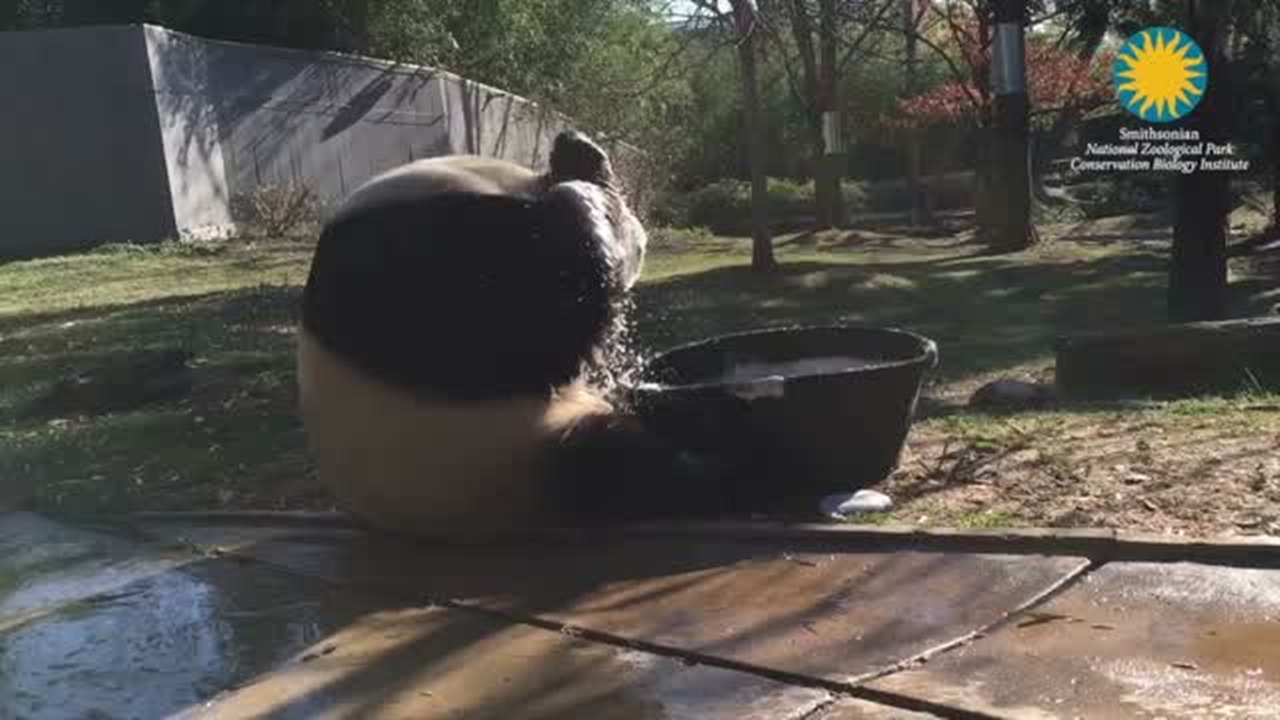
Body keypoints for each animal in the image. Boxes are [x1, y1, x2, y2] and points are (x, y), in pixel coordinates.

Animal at [297, 131, 729, 542]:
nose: (638, 244)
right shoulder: (414, 269)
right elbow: (530, 340)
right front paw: (590, 211)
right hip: (506, 456)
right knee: (616, 469)